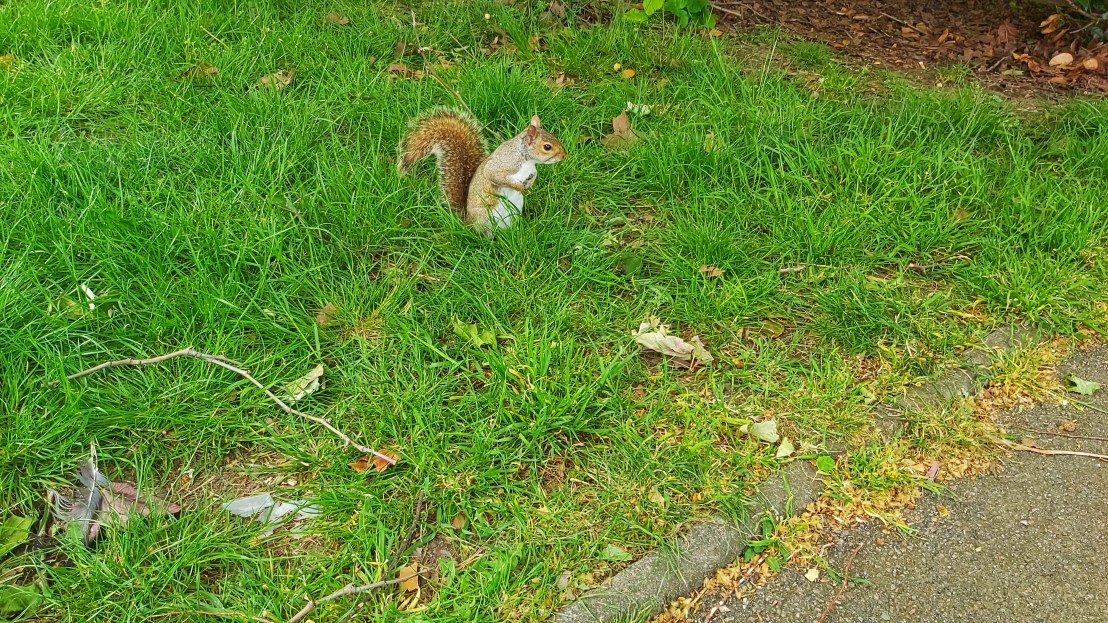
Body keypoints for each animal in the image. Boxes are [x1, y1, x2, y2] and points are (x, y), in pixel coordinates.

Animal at [397, 107, 565, 236]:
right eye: (547, 147)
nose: (564, 155)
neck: (527, 159)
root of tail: (467, 222)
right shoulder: (503, 164)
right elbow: (495, 175)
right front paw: (519, 187)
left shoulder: (532, 169)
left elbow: (534, 174)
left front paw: (531, 183)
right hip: (485, 218)